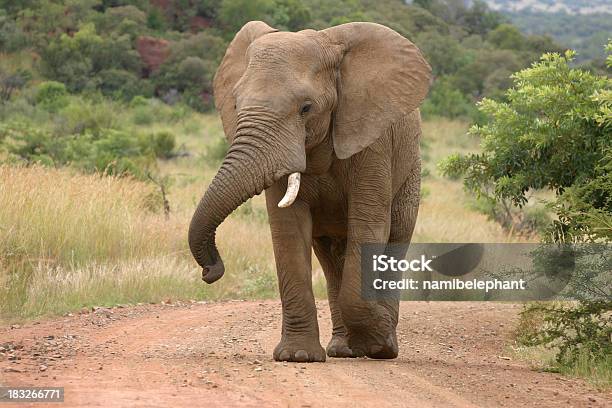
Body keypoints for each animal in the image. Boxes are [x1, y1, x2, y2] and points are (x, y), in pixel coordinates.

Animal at [189, 20, 432, 362]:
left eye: (306, 108)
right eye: (236, 104)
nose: (210, 271)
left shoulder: (373, 143)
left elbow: (368, 226)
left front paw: (379, 340)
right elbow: (288, 229)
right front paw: (297, 356)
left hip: (410, 172)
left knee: (395, 238)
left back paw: (380, 347)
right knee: (330, 257)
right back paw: (344, 349)